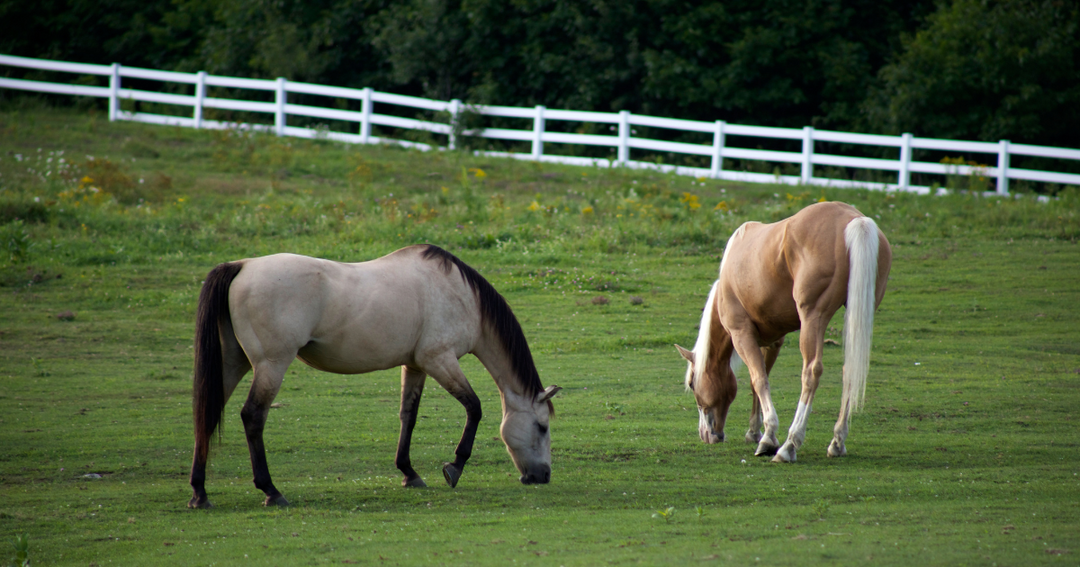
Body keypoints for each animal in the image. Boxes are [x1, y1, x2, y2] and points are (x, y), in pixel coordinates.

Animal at [188, 244, 561, 509]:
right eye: (542, 427)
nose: (543, 476)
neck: (462, 295)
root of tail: (242, 266)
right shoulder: (439, 360)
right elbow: (475, 407)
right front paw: (454, 467)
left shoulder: (416, 366)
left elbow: (408, 416)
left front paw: (409, 473)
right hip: (271, 364)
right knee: (253, 416)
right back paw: (271, 490)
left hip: (233, 362)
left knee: (207, 415)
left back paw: (200, 493)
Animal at [675, 201, 891, 462]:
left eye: (692, 384)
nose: (707, 435)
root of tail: (854, 219)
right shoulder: (772, 341)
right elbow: (758, 381)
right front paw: (754, 431)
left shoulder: (741, 334)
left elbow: (759, 380)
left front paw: (768, 438)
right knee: (849, 370)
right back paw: (837, 442)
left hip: (813, 318)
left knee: (811, 372)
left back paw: (790, 445)